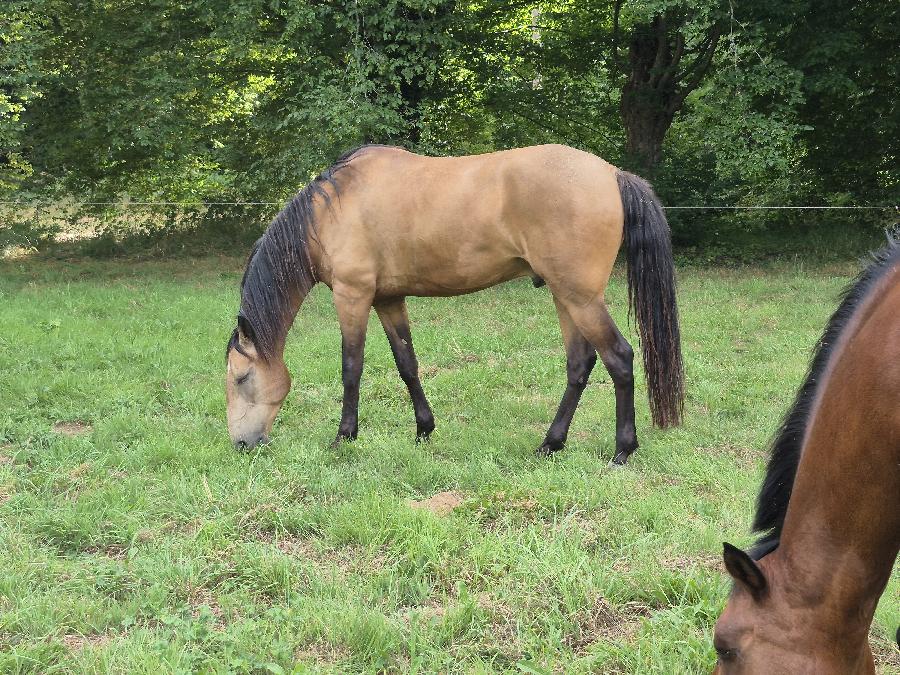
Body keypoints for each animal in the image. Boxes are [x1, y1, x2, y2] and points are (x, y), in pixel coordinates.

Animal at [224, 144, 684, 465]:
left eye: (241, 378)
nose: (241, 444)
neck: (332, 210)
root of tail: (611, 173)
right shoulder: (388, 299)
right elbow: (407, 365)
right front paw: (423, 430)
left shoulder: (352, 295)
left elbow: (351, 368)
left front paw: (344, 437)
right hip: (565, 296)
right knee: (580, 365)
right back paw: (551, 444)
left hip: (581, 298)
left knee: (619, 358)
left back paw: (623, 450)